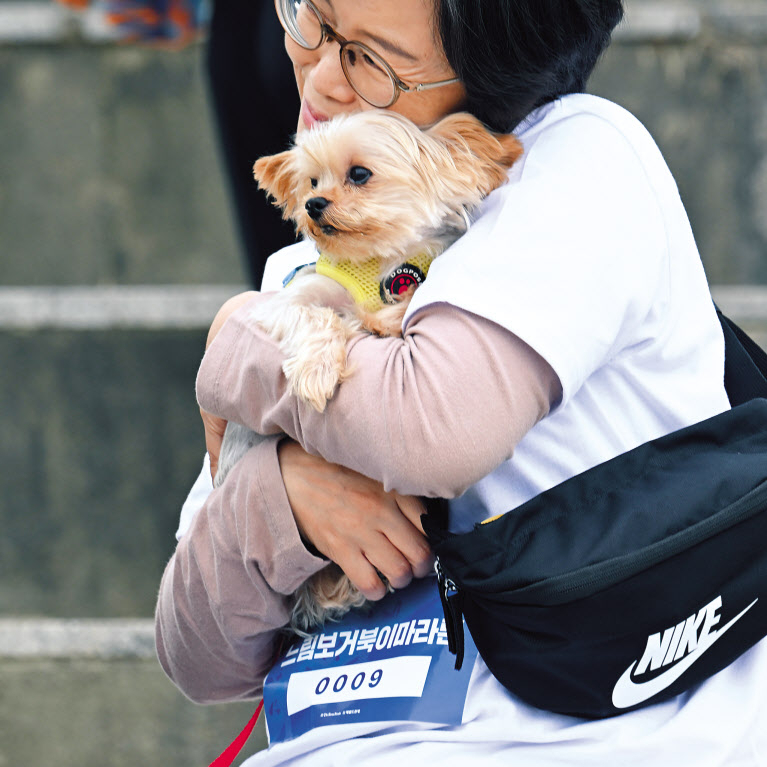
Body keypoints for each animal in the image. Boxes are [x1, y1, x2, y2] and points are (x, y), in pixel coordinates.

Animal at [214, 108, 520, 636]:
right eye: (311, 181)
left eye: (359, 174)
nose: (313, 204)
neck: (379, 266)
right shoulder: (287, 303)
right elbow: (316, 317)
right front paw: (317, 371)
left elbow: (401, 306)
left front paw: (387, 318)